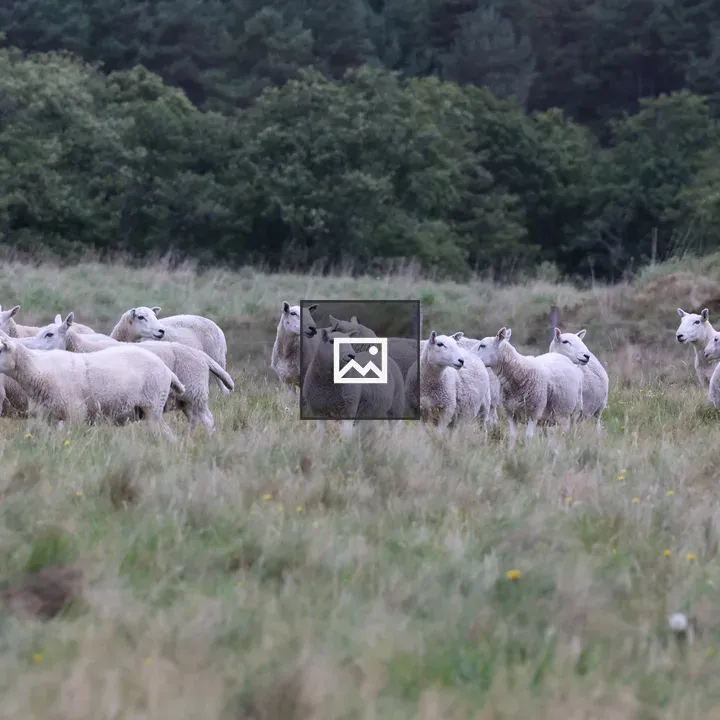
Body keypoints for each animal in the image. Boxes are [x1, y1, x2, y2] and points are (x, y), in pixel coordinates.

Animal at [0, 331, 184, 441]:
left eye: (1, 349)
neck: (36, 369)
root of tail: (167, 370)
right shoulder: (42, 414)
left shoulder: (75, 412)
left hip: (153, 407)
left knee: (165, 434)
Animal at [26, 313, 234, 433]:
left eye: (49, 334)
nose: (28, 347)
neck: (82, 347)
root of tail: (201, 356)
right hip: (187, 400)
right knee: (195, 420)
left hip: (196, 393)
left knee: (207, 420)